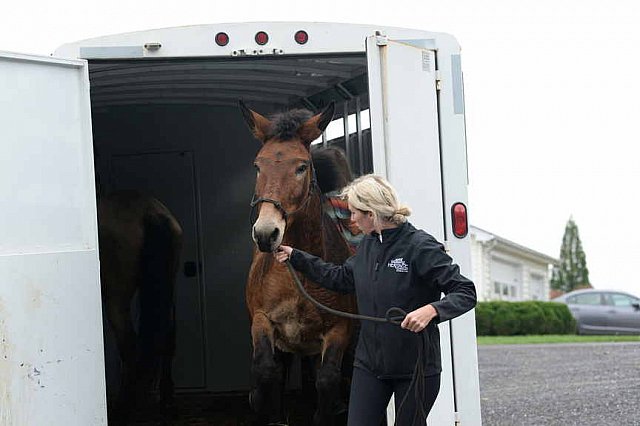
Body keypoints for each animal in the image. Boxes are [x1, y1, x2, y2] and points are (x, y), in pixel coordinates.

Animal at [98, 191, 182, 418]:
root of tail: (150, 211)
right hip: (168, 290)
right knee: (168, 337)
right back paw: (167, 400)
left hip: (116, 299)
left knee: (129, 345)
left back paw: (123, 406)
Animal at [241, 104, 358, 426]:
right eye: (257, 166)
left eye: (302, 167)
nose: (266, 234)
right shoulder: (262, 320)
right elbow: (266, 370)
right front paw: (262, 406)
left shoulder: (338, 329)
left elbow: (327, 379)